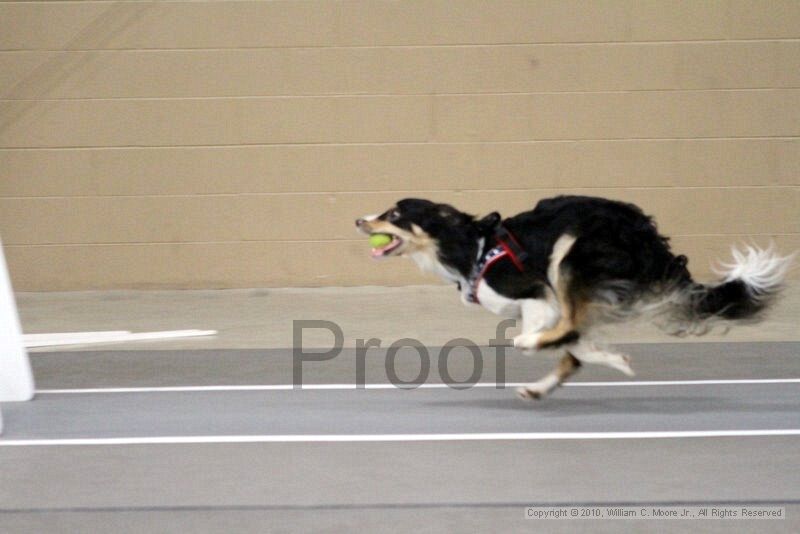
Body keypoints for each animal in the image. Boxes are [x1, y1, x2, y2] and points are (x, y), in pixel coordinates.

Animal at [358, 197, 792, 402]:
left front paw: (532, 342)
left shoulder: (535, 294)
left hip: (571, 255)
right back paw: (541, 387)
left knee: (565, 327)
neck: (471, 248)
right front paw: (614, 359)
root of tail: (650, 238)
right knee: (574, 339)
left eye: (394, 214)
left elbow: (556, 333)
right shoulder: (544, 304)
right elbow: (578, 343)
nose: (359, 220)